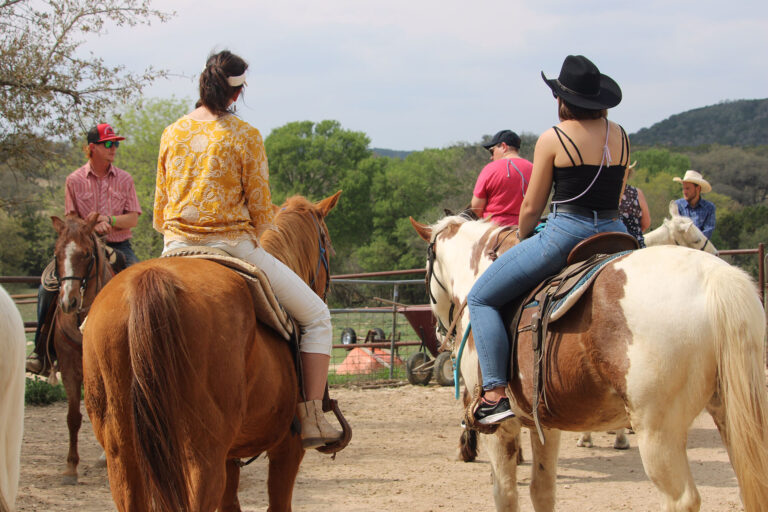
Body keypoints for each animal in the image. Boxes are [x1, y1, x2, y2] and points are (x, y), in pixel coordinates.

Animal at [82, 193, 342, 512]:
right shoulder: (288, 448)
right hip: (202, 458)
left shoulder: (231, 457)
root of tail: (150, 280)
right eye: (327, 243)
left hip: (122, 454)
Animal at [414, 215, 768, 512]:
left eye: (427, 271)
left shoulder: (501, 428)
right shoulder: (545, 423)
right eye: (694, 236)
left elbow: (506, 495)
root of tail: (716, 278)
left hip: (659, 430)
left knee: (681, 499)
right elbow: (542, 492)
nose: (439, 331)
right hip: (733, 415)